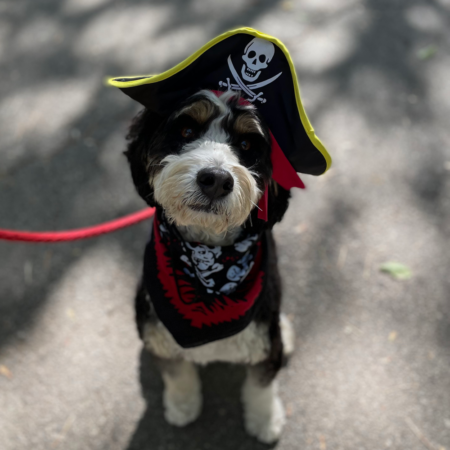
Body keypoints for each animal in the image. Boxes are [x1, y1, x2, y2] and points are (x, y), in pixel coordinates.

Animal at [126, 89, 296, 442]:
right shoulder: (160, 338)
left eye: (246, 144)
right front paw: (182, 406)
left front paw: (265, 419)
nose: (216, 179)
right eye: (187, 130)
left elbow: (260, 385)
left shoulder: (264, 341)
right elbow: (177, 375)